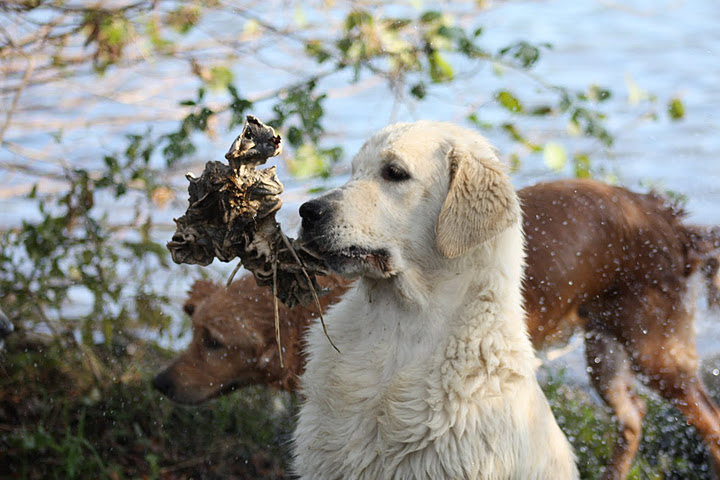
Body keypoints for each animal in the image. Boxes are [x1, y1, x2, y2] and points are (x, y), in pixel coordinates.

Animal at [153, 178, 720, 478]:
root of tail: (668, 218)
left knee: (708, 420)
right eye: (192, 330)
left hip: (657, 351)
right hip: (606, 354)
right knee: (634, 418)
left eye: (214, 342)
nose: (159, 382)